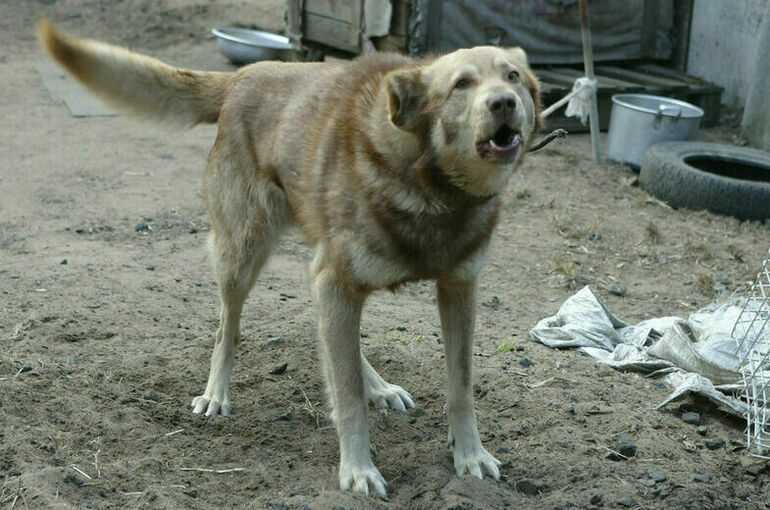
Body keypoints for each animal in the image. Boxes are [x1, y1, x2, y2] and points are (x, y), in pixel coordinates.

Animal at [40, 21, 540, 496]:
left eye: (512, 76)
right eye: (461, 84)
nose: (503, 103)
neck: (431, 185)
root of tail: (243, 77)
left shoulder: (456, 290)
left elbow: (460, 387)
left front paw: (470, 456)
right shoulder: (336, 282)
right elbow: (347, 396)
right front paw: (357, 470)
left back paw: (378, 385)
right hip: (242, 254)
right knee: (228, 328)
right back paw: (216, 394)